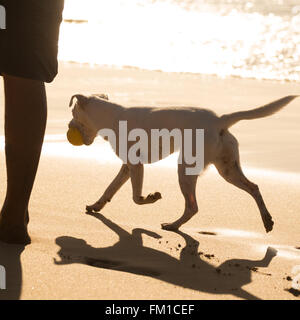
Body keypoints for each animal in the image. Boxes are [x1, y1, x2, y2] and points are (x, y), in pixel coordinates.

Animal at [68, 93, 298, 232]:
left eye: (73, 113)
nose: (67, 126)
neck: (112, 117)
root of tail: (219, 120)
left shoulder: (135, 165)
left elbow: (136, 197)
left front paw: (151, 197)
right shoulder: (127, 167)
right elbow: (110, 189)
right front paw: (96, 206)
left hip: (185, 169)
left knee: (192, 206)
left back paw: (172, 225)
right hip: (227, 169)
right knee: (254, 187)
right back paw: (267, 220)